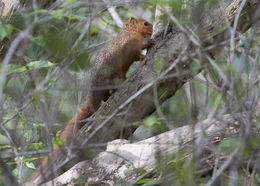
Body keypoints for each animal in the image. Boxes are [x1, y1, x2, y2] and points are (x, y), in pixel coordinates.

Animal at [29, 16, 153, 182]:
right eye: (145, 23)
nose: (152, 29)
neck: (130, 32)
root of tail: (91, 98)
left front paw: (149, 43)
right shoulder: (130, 46)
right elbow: (136, 54)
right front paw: (145, 52)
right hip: (112, 77)